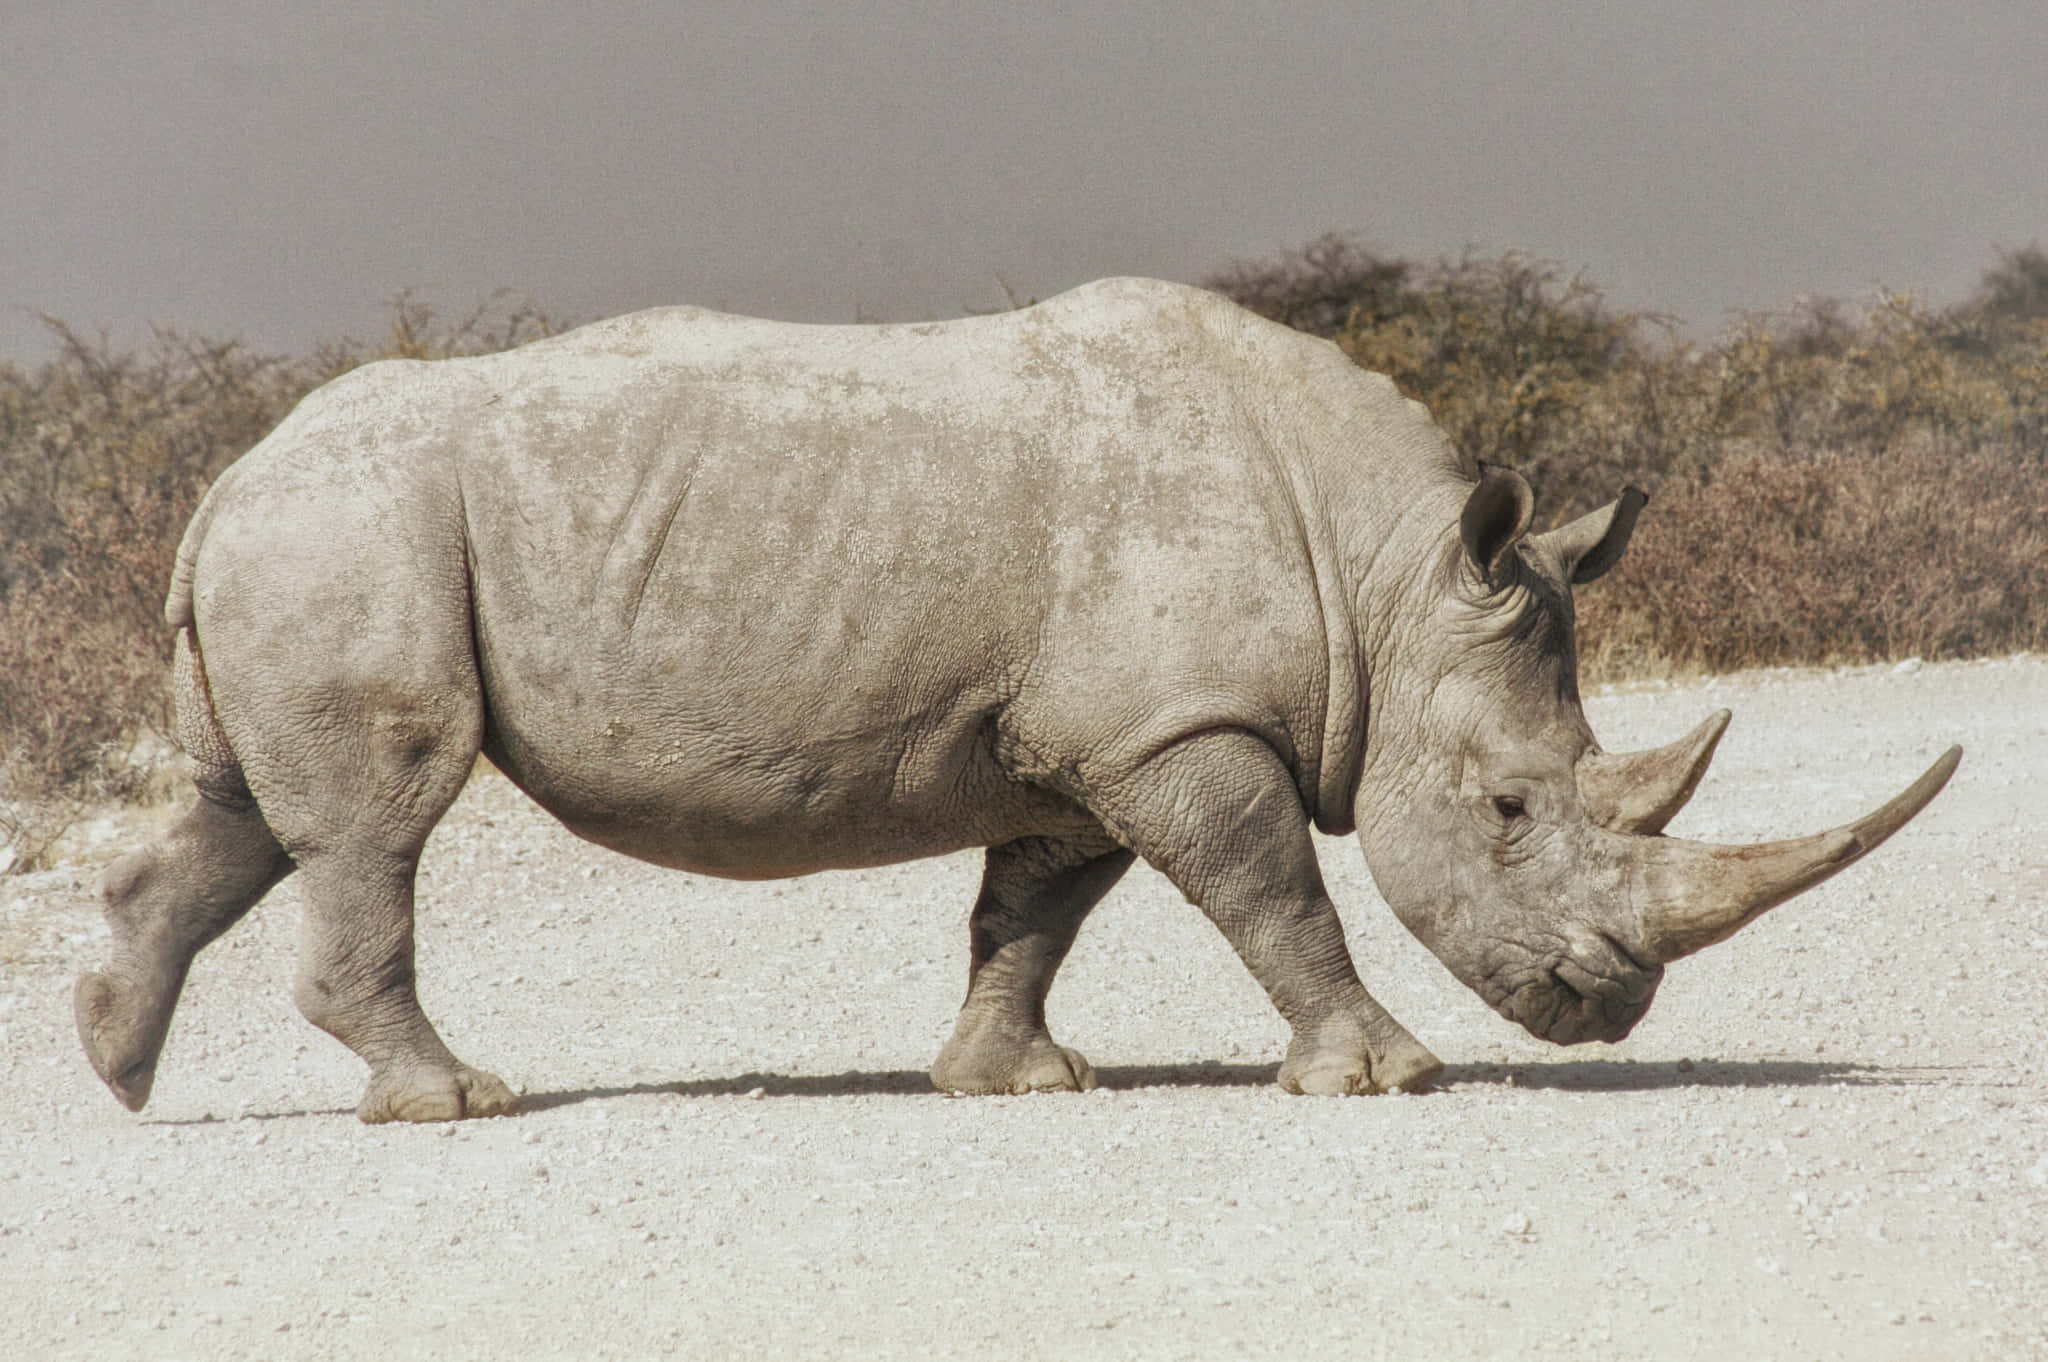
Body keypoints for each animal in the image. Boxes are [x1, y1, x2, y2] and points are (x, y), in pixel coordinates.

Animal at [75, 277, 1959, 1123]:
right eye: (1507, 808)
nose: (1608, 1006)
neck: (1384, 578)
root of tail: (219, 484)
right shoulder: (1178, 728)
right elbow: (1274, 892)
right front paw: (1385, 1075)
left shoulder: (1090, 737)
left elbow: (1033, 908)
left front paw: (1015, 1081)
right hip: (352, 531)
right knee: (378, 812)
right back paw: (456, 1102)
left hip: (321, 538)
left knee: (252, 811)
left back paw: (114, 1061)